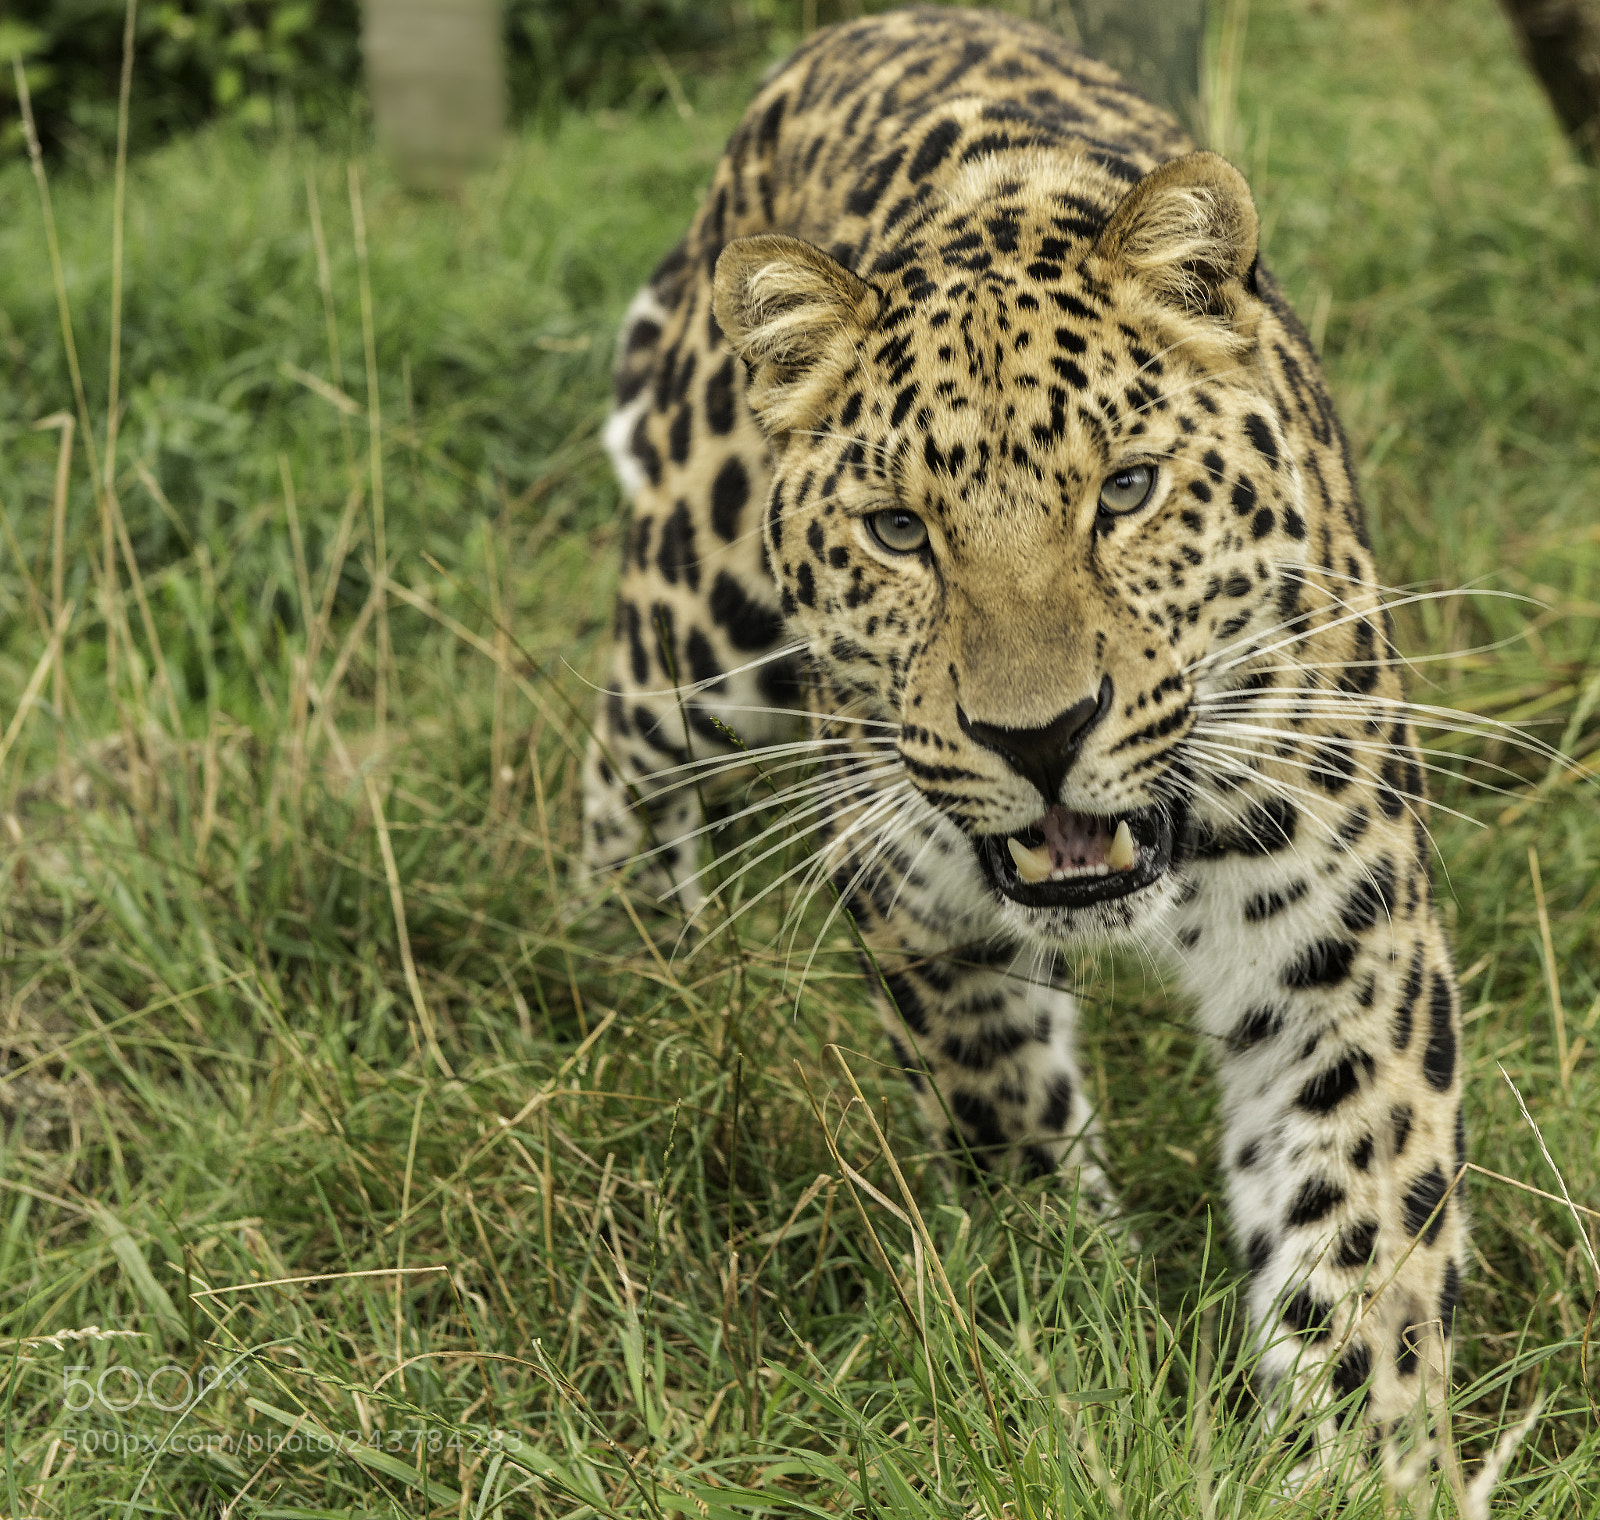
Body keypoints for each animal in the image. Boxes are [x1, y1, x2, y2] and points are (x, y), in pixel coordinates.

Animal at [580, 4, 1485, 1495]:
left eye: (1125, 490)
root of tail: (863, 26)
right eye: (899, 530)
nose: (1040, 734)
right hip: (697, 614)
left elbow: (1359, 1241)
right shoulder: (915, 889)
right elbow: (1002, 1120)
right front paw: (1071, 1336)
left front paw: (1362, 1469)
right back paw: (632, 977)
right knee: (624, 749)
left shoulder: (1345, 943)